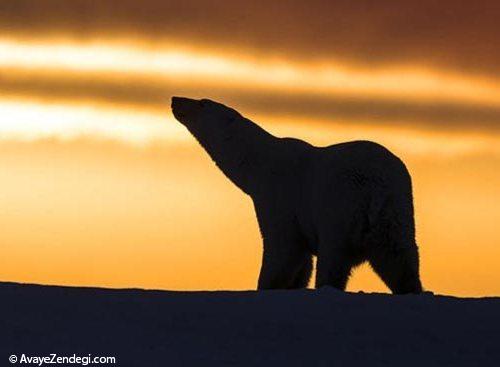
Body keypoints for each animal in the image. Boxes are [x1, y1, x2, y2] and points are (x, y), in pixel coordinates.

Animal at [171, 96, 422, 294]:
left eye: (202, 102)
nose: (175, 99)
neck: (260, 164)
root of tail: (376, 187)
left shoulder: (280, 200)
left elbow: (282, 251)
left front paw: (266, 286)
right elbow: (302, 263)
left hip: (340, 209)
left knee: (333, 258)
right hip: (396, 211)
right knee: (399, 259)